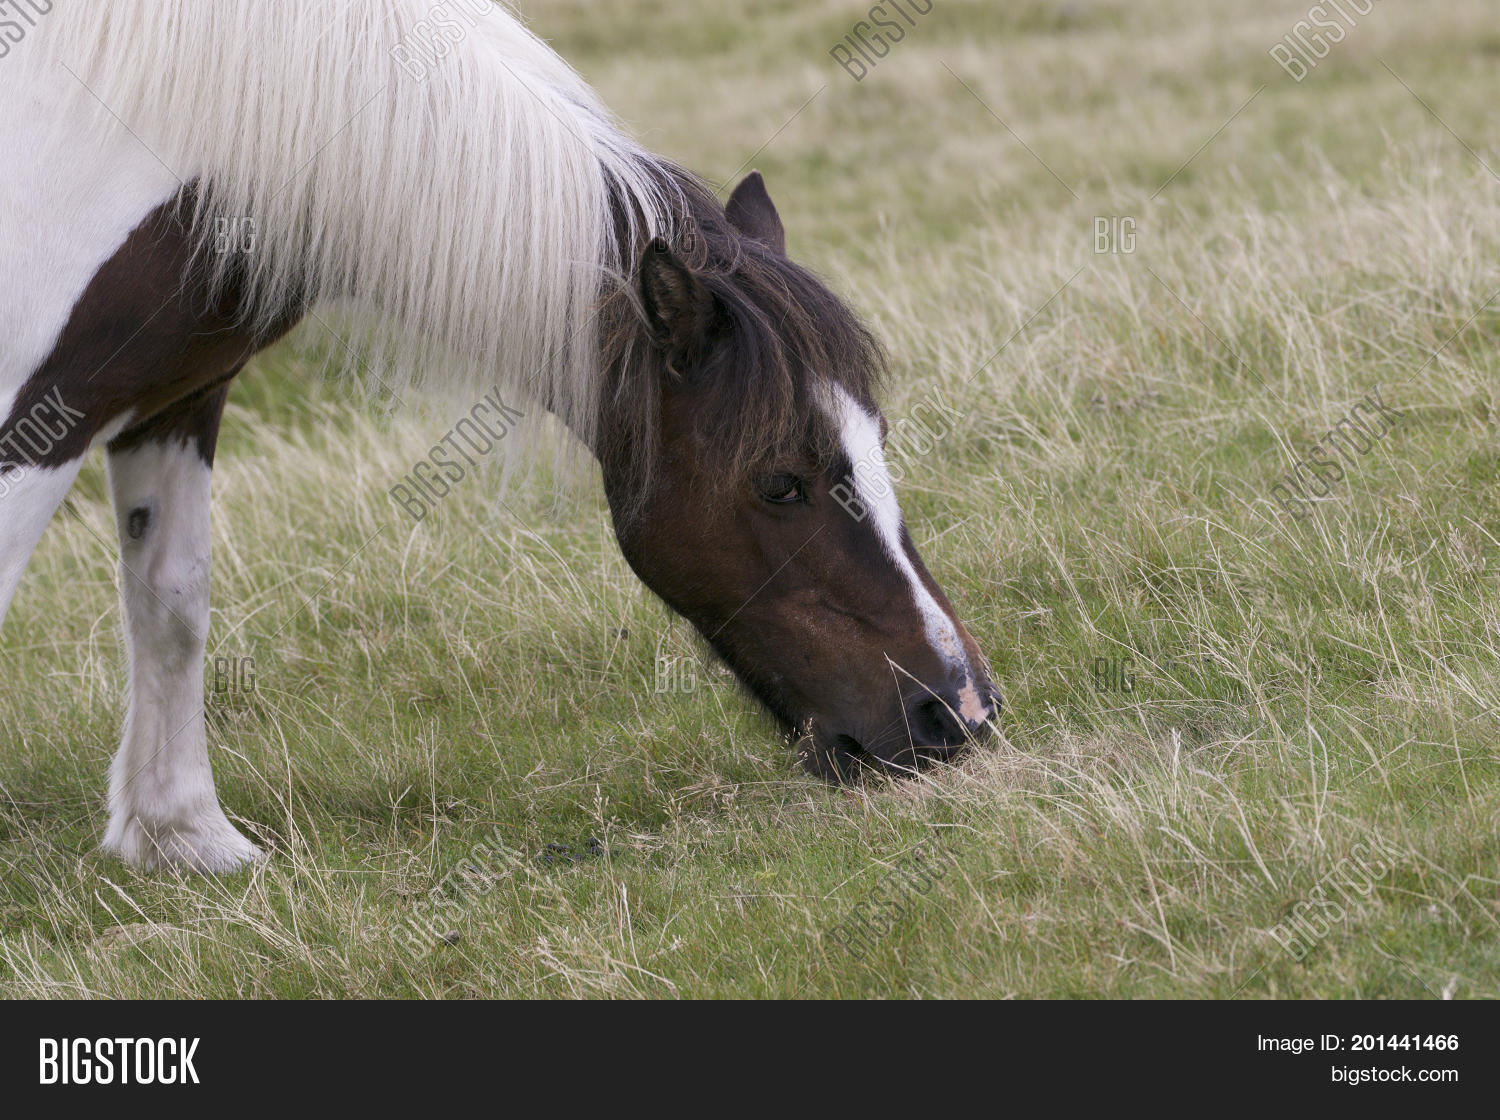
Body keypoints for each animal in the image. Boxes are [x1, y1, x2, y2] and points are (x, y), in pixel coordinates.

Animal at [0, 1, 999, 872]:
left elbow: (173, 602)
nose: (959, 712)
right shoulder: (40, 421)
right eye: (779, 481)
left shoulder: (178, 398)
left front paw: (183, 837)